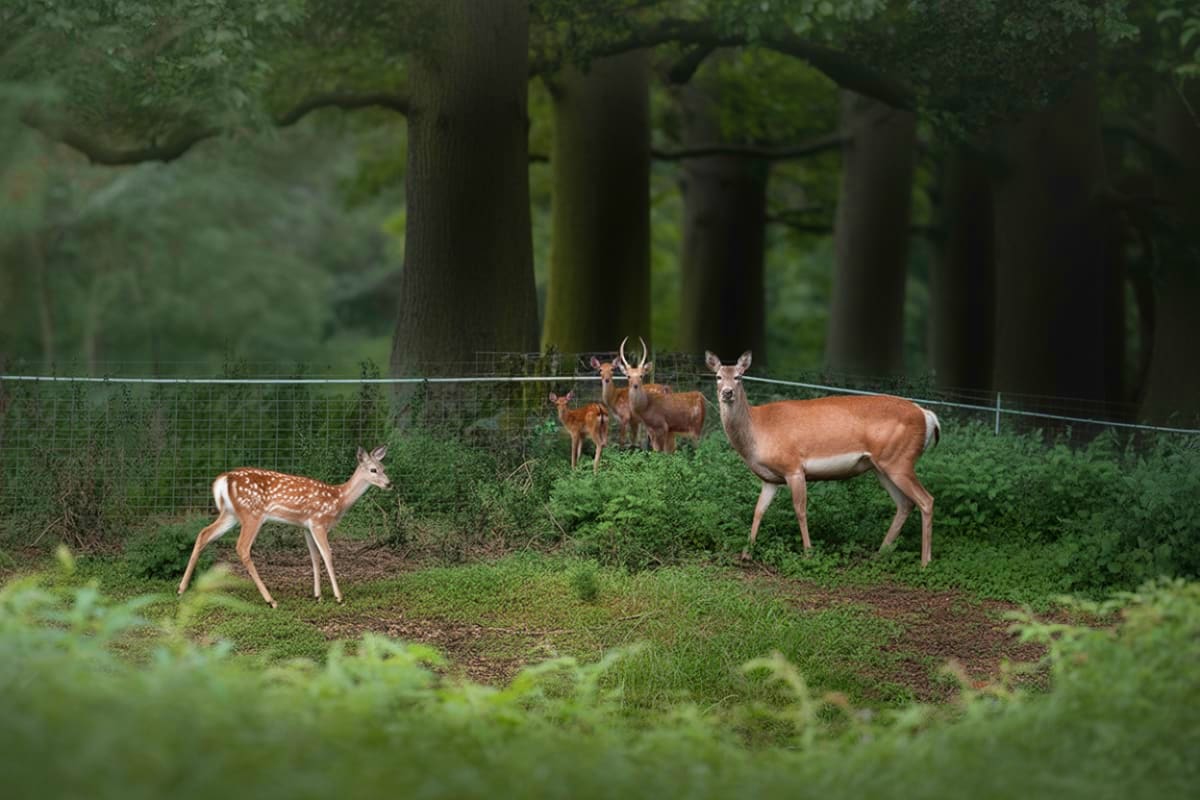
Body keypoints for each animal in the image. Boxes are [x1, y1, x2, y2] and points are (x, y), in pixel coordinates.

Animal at [177, 445, 392, 608]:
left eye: (383, 467)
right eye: (373, 470)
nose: (389, 484)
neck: (339, 499)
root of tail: (223, 479)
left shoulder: (306, 526)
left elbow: (314, 556)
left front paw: (318, 595)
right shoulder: (318, 521)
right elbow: (327, 554)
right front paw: (339, 597)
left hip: (231, 514)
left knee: (203, 534)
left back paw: (181, 588)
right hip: (252, 513)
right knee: (242, 547)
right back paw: (270, 600)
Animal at [706, 351, 940, 566]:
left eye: (739, 376)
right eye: (718, 376)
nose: (727, 392)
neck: (757, 431)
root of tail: (928, 415)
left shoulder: (794, 467)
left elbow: (800, 510)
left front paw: (809, 553)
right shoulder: (769, 479)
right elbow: (758, 511)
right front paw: (746, 554)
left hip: (900, 460)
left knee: (926, 500)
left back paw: (925, 562)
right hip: (881, 466)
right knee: (905, 503)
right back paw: (881, 553)